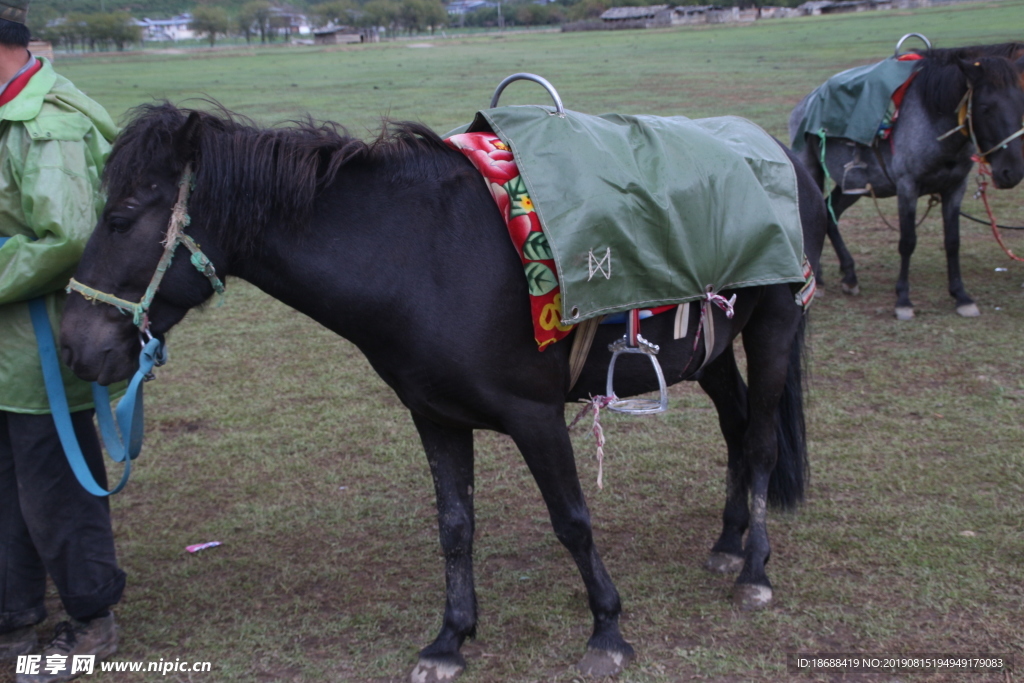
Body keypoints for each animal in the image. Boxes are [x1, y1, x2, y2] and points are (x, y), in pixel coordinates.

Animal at [61, 102, 823, 683]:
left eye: (121, 217)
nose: (72, 344)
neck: (422, 256)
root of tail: (780, 153)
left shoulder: (535, 416)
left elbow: (572, 519)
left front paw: (607, 628)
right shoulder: (435, 417)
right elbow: (455, 526)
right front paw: (451, 638)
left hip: (775, 325)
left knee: (760, 442)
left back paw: (755, 570)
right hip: (712, 349)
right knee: (736, 428)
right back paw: (728, 541)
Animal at [786, 44, 1019, 321]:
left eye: (1021, 104)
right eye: (984, 107)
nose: (1012, 172)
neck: (933, 119)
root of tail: (804, 104)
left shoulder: (955, 187)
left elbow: (953, 242)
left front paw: (961, 297)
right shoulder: (907, 187)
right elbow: (907, 242)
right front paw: (903, 301)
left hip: (855, 183)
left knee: (830, 215)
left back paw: (849, 275)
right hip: (811, 170)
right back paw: (819, 280)